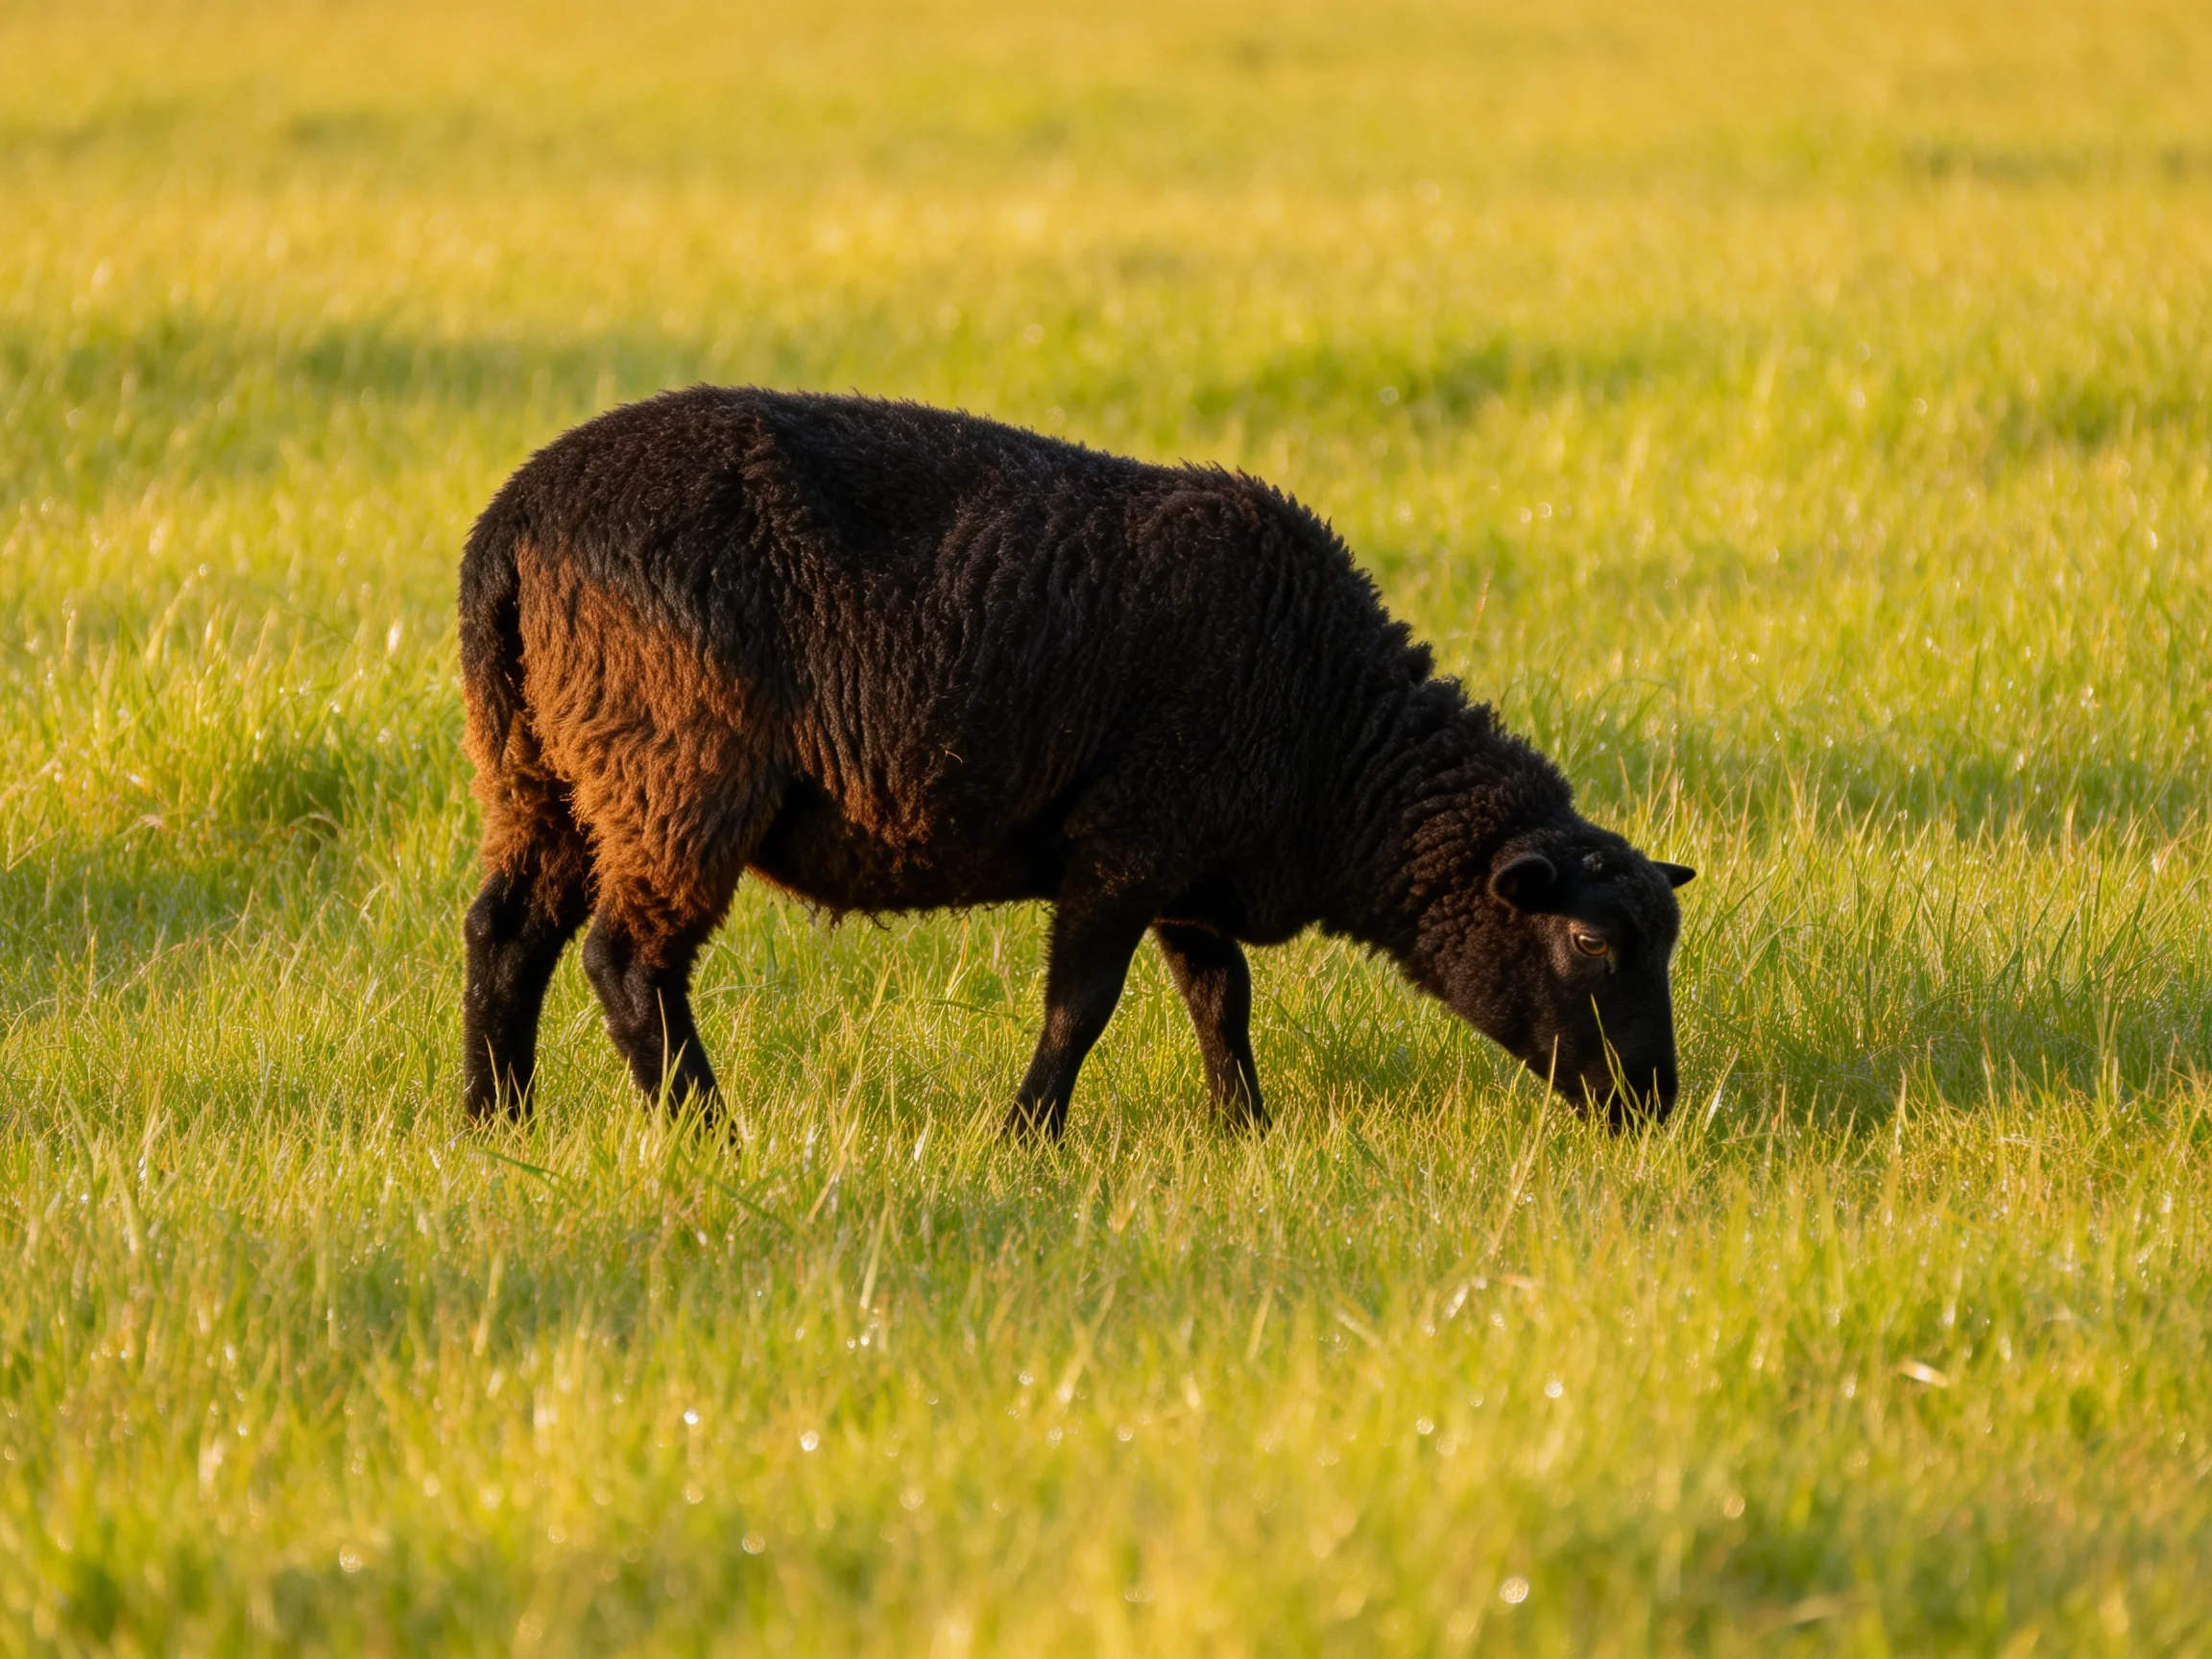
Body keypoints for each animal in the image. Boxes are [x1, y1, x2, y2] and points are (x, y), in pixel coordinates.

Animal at [459, 387, 1695, 1135]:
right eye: (1592, 942)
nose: (1657, 1104)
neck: (1335, 743)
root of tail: (511, 525)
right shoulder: (1127, 842)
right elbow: (1083, 1005)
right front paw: (1027, 1136)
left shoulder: (1193, 864)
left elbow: (1221, 998)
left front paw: (1243, 1129)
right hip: (675, 768)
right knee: (626, 962)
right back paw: (708, 1132)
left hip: (542, 768)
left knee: (505, 935)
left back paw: (495, 1121)